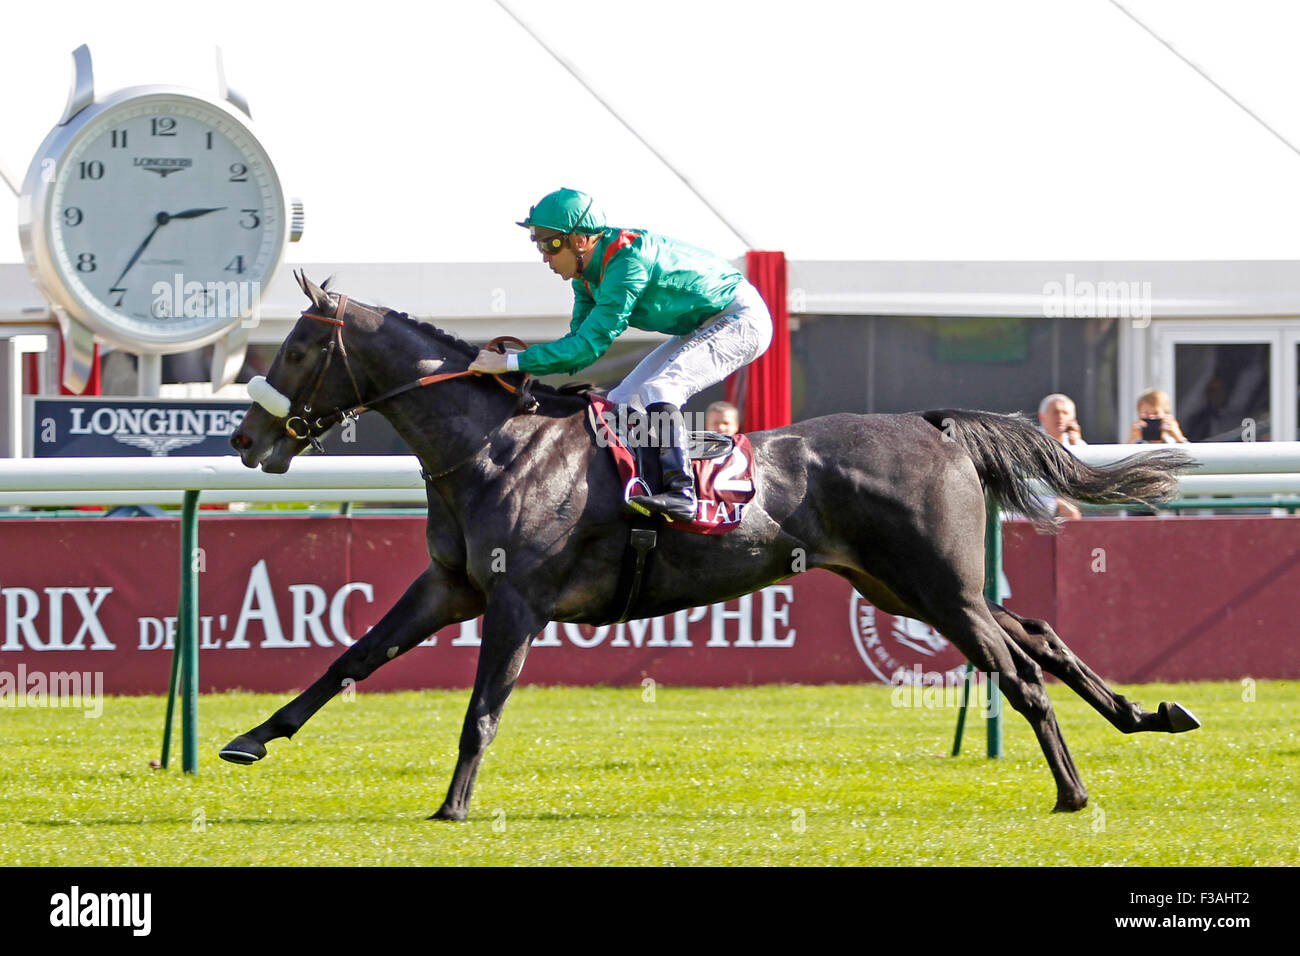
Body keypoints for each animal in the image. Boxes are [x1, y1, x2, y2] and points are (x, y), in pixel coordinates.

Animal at [220, 273, 1196, 816]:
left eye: (298, 348)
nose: (244, 439)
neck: (494, 445)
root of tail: (935, 421)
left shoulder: (514, 601)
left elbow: (482, 709)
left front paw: (453, 807)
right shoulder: (450, 586)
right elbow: (351, 658)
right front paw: (251, 739)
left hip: (938, 589)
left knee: (1021, 668)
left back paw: (1073, 791)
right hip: (903, 587)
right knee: (1039, 633)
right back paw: (1149, 715)